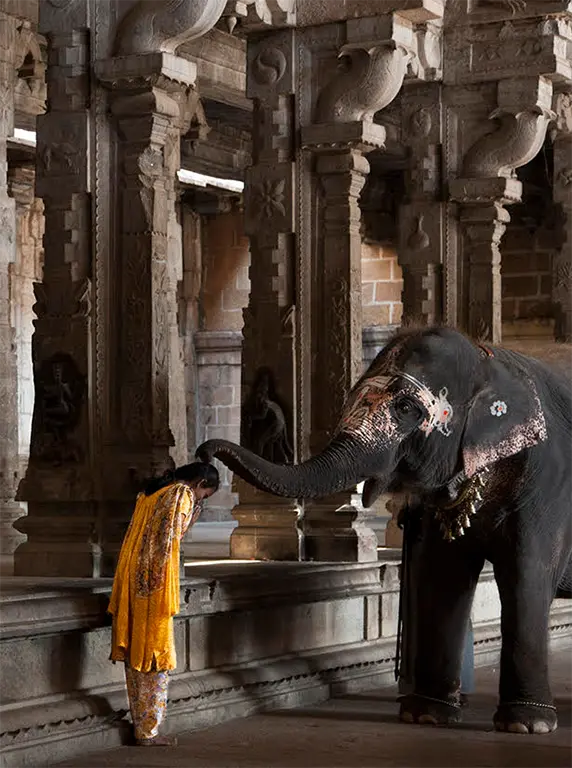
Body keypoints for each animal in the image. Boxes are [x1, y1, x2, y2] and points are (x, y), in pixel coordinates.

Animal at [197, 325, 572, 735]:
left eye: (406, 408)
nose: (204, 455)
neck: (491, 360)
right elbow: (442, 575)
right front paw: (425, 715)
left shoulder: (549, 482)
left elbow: (527, 574)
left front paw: (528, 725)